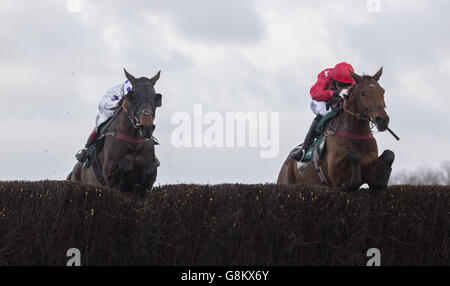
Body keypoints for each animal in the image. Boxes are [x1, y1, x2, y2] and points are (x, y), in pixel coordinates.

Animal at [68, 68, 162, 196]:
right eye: (133, 97)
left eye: (155, 97)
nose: (146, 127)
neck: (134, 143)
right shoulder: (108, 175)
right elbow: (125, 165)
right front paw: (126, 183)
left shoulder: (151, 173)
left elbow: (150, 169)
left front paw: (138, 187)